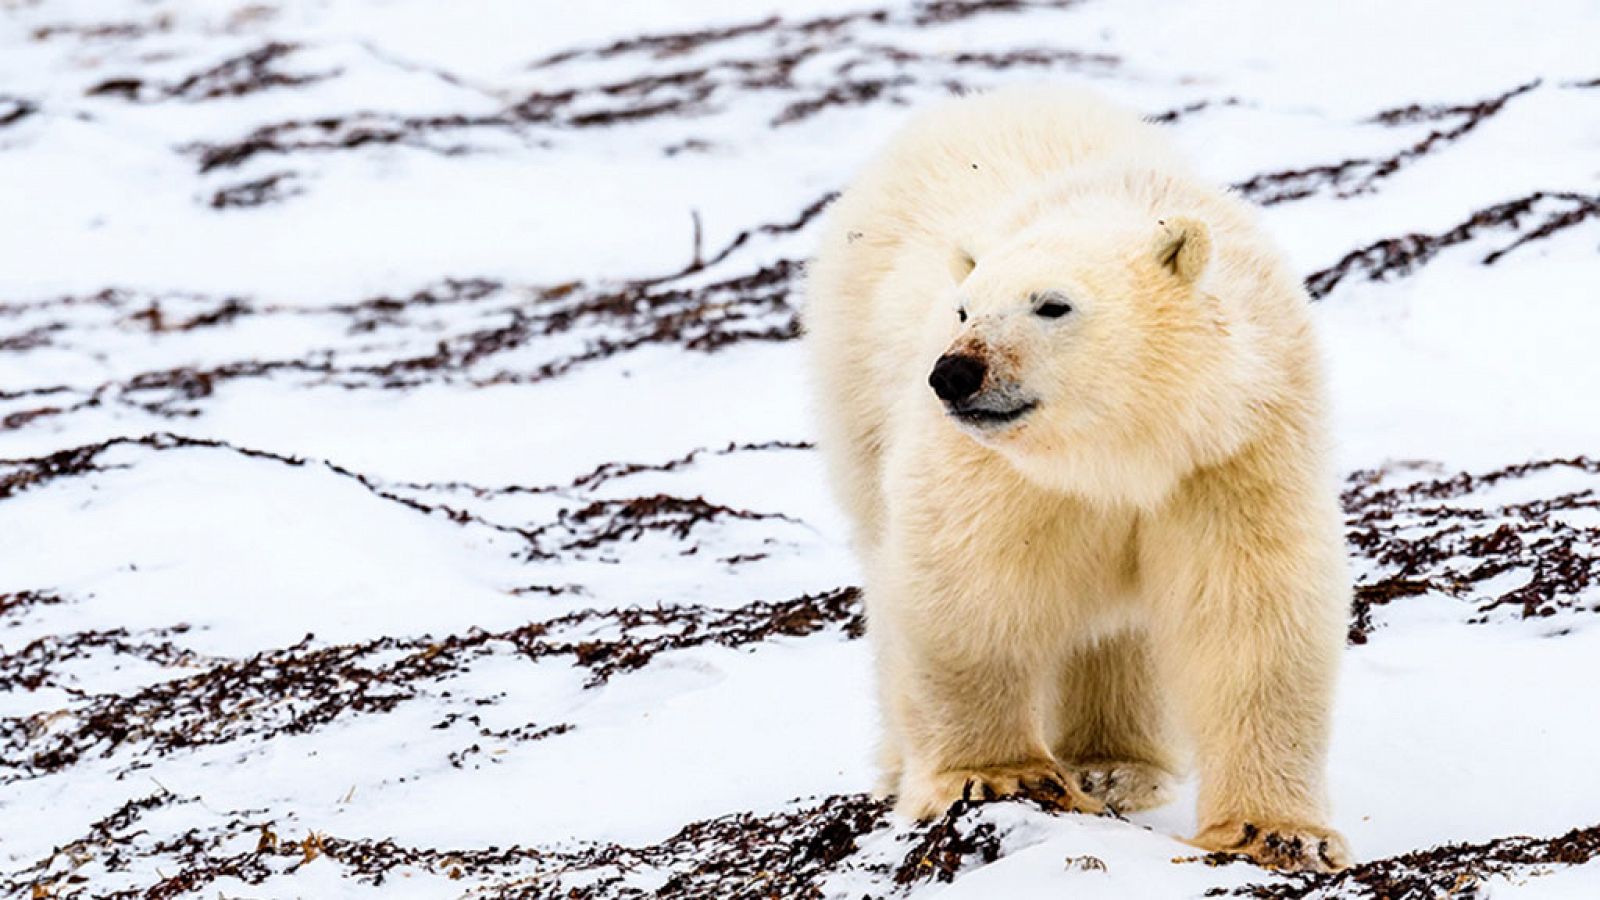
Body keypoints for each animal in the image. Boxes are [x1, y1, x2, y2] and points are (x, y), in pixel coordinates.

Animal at [800, 85, 1350, 871]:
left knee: (1115, 632)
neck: (1121, 454)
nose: (954, 373)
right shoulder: (997, 472)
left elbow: (1250, 611)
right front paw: (995, 776)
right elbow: (969, 587)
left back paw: (1114, 764)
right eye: (965, 307)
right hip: (855, 391)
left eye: (1052, 304)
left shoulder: (1235, 447)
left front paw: (1275, 833)